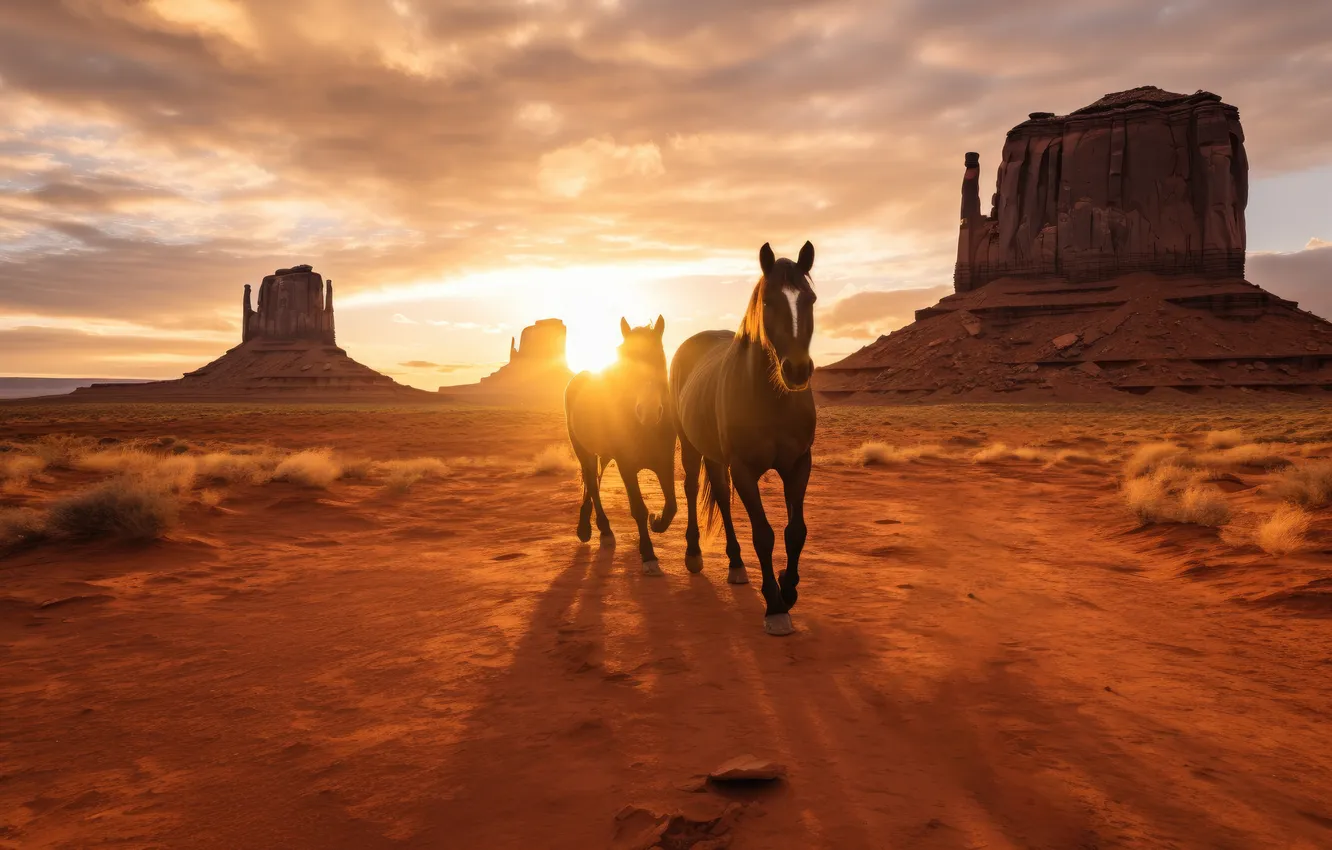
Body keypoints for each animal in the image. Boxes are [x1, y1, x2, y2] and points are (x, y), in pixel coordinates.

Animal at [563, 316, 678, 575]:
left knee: (594, 481)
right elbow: (638, 508)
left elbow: (672, 506)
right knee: (592, 484)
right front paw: (648, 555)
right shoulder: (626, 465)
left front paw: (657, 521)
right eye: (626, 362)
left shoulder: (665, 462)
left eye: (660, 358)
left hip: (604, 454)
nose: (648, 412)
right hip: (584, 450)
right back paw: (602, 530)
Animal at [670, 242, 817, 636]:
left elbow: (795, 531)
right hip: (691, 446)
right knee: (693, 488)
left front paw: (789, 589)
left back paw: (736, 564)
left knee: (721, 496)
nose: (797, 370)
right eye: (768, 302)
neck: (772, 399)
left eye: (810, 299)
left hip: (716, 456)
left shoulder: (799, 464)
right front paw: (775, 607)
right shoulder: (745, 470)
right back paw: (694, 554)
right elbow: (764, 534)